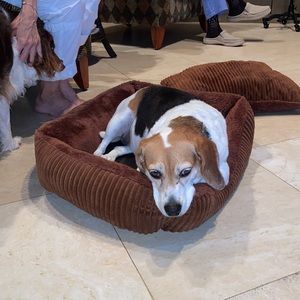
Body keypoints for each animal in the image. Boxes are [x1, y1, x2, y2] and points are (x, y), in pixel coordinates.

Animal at [94, 85, 230, 217]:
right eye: (155, 173)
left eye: (186, 172)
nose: (173, 210)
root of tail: (145, 88)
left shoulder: (224, 170)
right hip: (119, 121)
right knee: (104, 142)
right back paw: (100, 154)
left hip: (134, 144)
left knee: (119, 148)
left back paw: (110, 156)